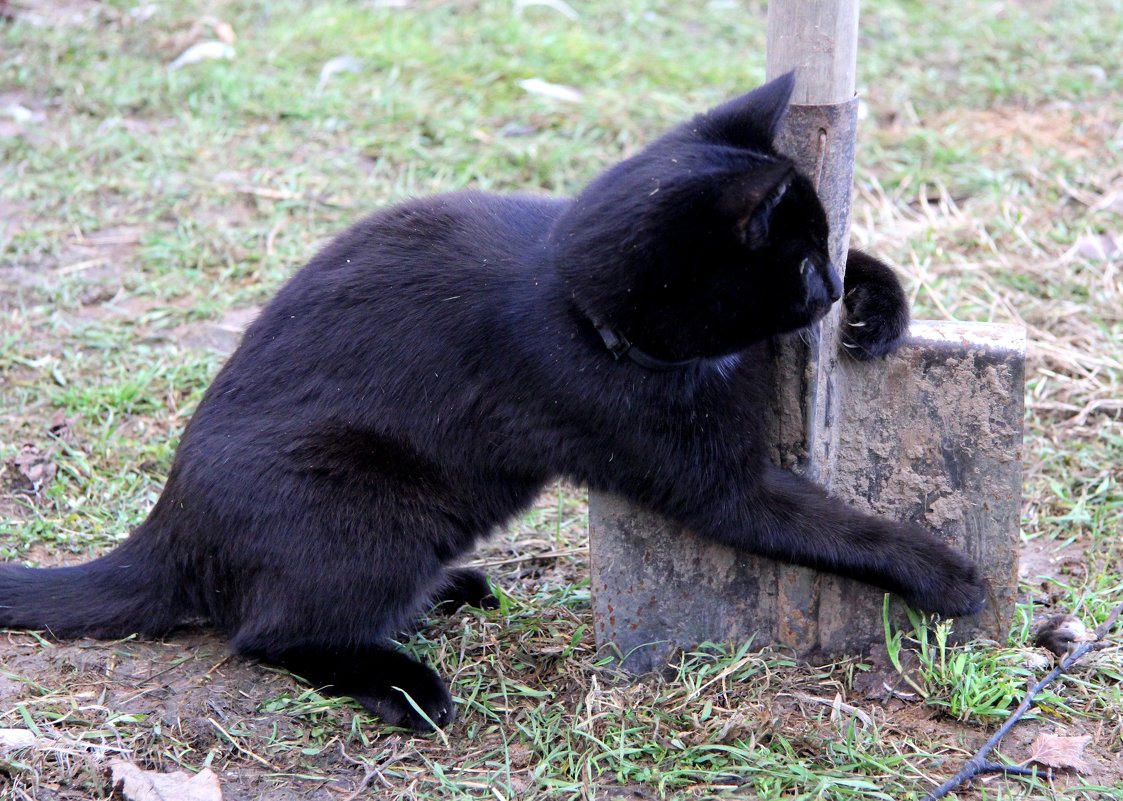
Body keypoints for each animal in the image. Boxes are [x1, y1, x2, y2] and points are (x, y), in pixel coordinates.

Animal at [0, 75, 983, 732]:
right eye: (801, 258)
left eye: (824, 246)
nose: (828, 289)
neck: (571, 298)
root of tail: (168, 528)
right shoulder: (712, 480)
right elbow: (822, 523)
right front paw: (939, 571)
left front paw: (879, 298)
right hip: (366, 496)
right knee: (268, 632)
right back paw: (407, 684)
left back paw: (448, 590)